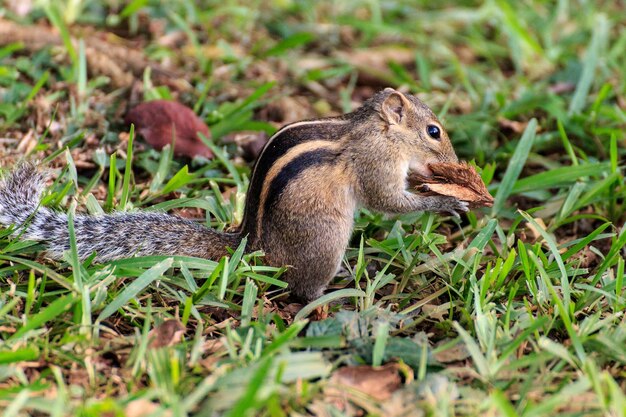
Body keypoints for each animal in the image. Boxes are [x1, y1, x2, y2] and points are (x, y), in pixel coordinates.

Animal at [0, 88, 464, 300]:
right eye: (433, 131)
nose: (454, 159)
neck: (374, 129)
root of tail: (252, 246)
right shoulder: (375, 164)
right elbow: (388, 202)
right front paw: (448, 200)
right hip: (326, 241)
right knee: (302, 289)